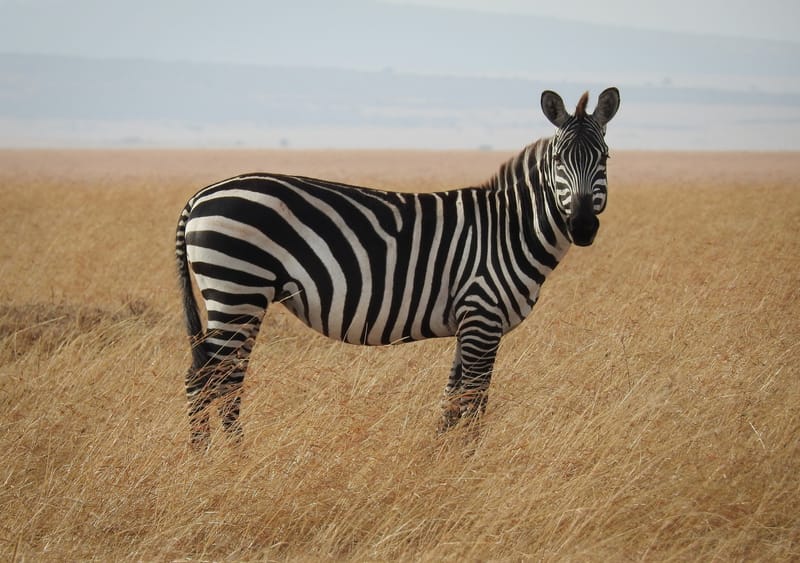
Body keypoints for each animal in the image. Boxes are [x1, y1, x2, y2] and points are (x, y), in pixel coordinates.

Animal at [175, 87, 620, 446]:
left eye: (605, 158)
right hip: (238, 288)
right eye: (559, 160)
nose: (582, 226)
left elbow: (451, 401)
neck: (509, 229)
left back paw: (214, 456)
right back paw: (224, 460)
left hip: (240, 296)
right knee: (212, 380)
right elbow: (474, 401)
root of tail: (200, 195)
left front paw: (439, 460)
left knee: (216, 378)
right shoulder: (482, 315)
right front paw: (470, 464)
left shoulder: (468, 322)